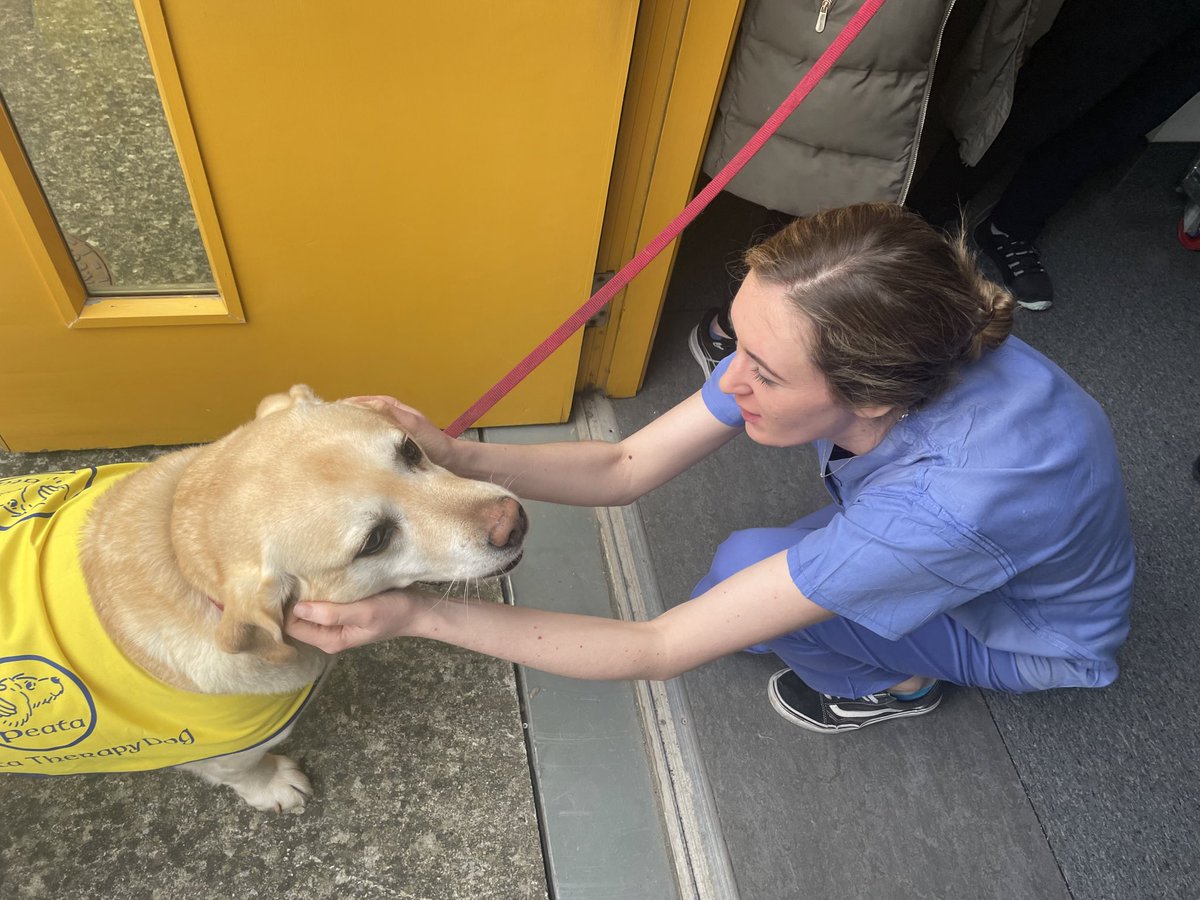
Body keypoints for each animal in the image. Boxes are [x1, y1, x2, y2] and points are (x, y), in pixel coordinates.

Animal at [0, 384, 525, 816]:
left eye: (411, 449)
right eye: (374, 540)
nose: (514, 522)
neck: (180, 549)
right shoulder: (215, 749)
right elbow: (241, 771)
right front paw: (272, 786)